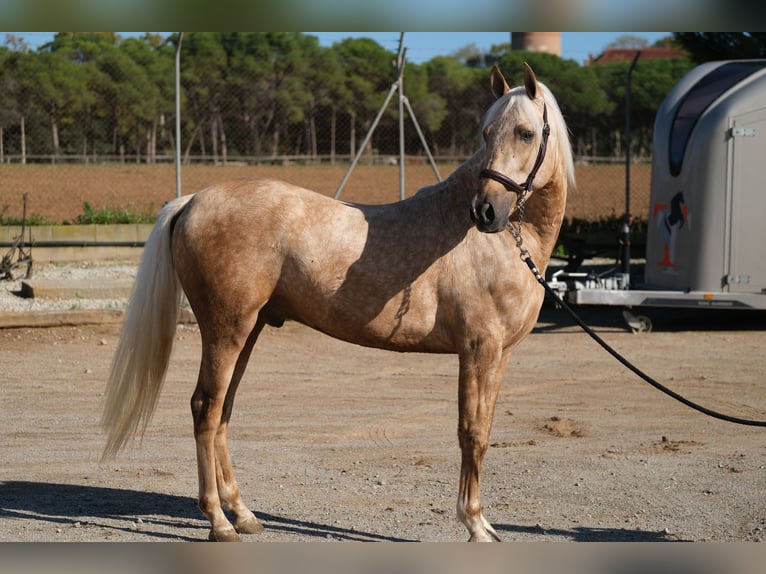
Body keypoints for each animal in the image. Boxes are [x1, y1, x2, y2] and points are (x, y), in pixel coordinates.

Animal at [105, 64, 576, 544]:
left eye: (524, 133)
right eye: (486, 132)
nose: (484, 211)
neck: (506, 243)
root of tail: (193, 200)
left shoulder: (499, 355)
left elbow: (483, 429)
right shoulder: (478, 350)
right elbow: (472, 433)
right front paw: (475, 523)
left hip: (247, 331)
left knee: (222, 411)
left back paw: (243, 513)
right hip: (225, 330)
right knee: (205, 407)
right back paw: (219, 521)